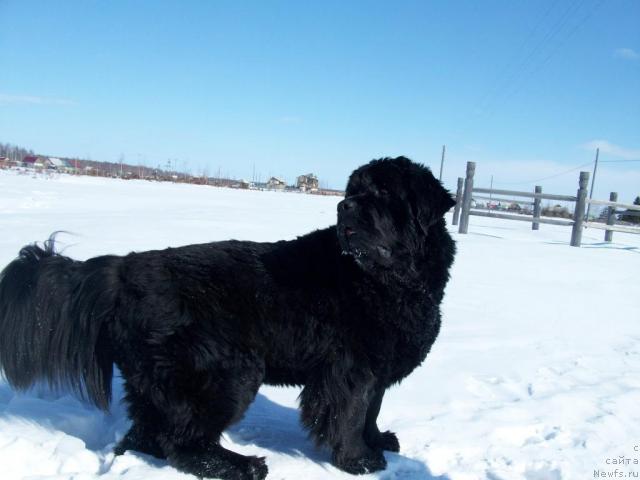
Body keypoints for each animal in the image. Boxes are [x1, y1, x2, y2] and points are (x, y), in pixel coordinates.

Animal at [0, 156, 456, 478]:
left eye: (383, 193)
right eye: (352, 191)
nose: (344, 207)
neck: (390, 280)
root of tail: (123, 269)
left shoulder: (377, 366)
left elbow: (372, 409)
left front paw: (379, 441)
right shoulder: (349, 369)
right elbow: (350, 413)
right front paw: (359, 461)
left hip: (155, 378)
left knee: (149, 433)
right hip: (227, 371)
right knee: (183, 442)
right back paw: (243, 466)